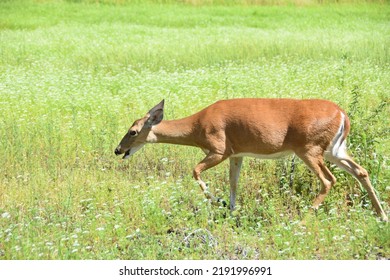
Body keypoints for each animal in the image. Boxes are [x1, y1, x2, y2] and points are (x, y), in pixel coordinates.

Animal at [114, 98, 388, 221]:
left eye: (133, 131)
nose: (117, 150)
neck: (197, 126)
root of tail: (343, 115)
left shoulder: (219, 149)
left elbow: (195, 172)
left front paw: (218, 201)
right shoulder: (237, 154)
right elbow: (234, 182)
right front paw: (232, 208)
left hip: (309, 149)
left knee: (329, 180)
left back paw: (304, 215)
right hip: (335, 150)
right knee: (361, 171)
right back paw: (381, 215)